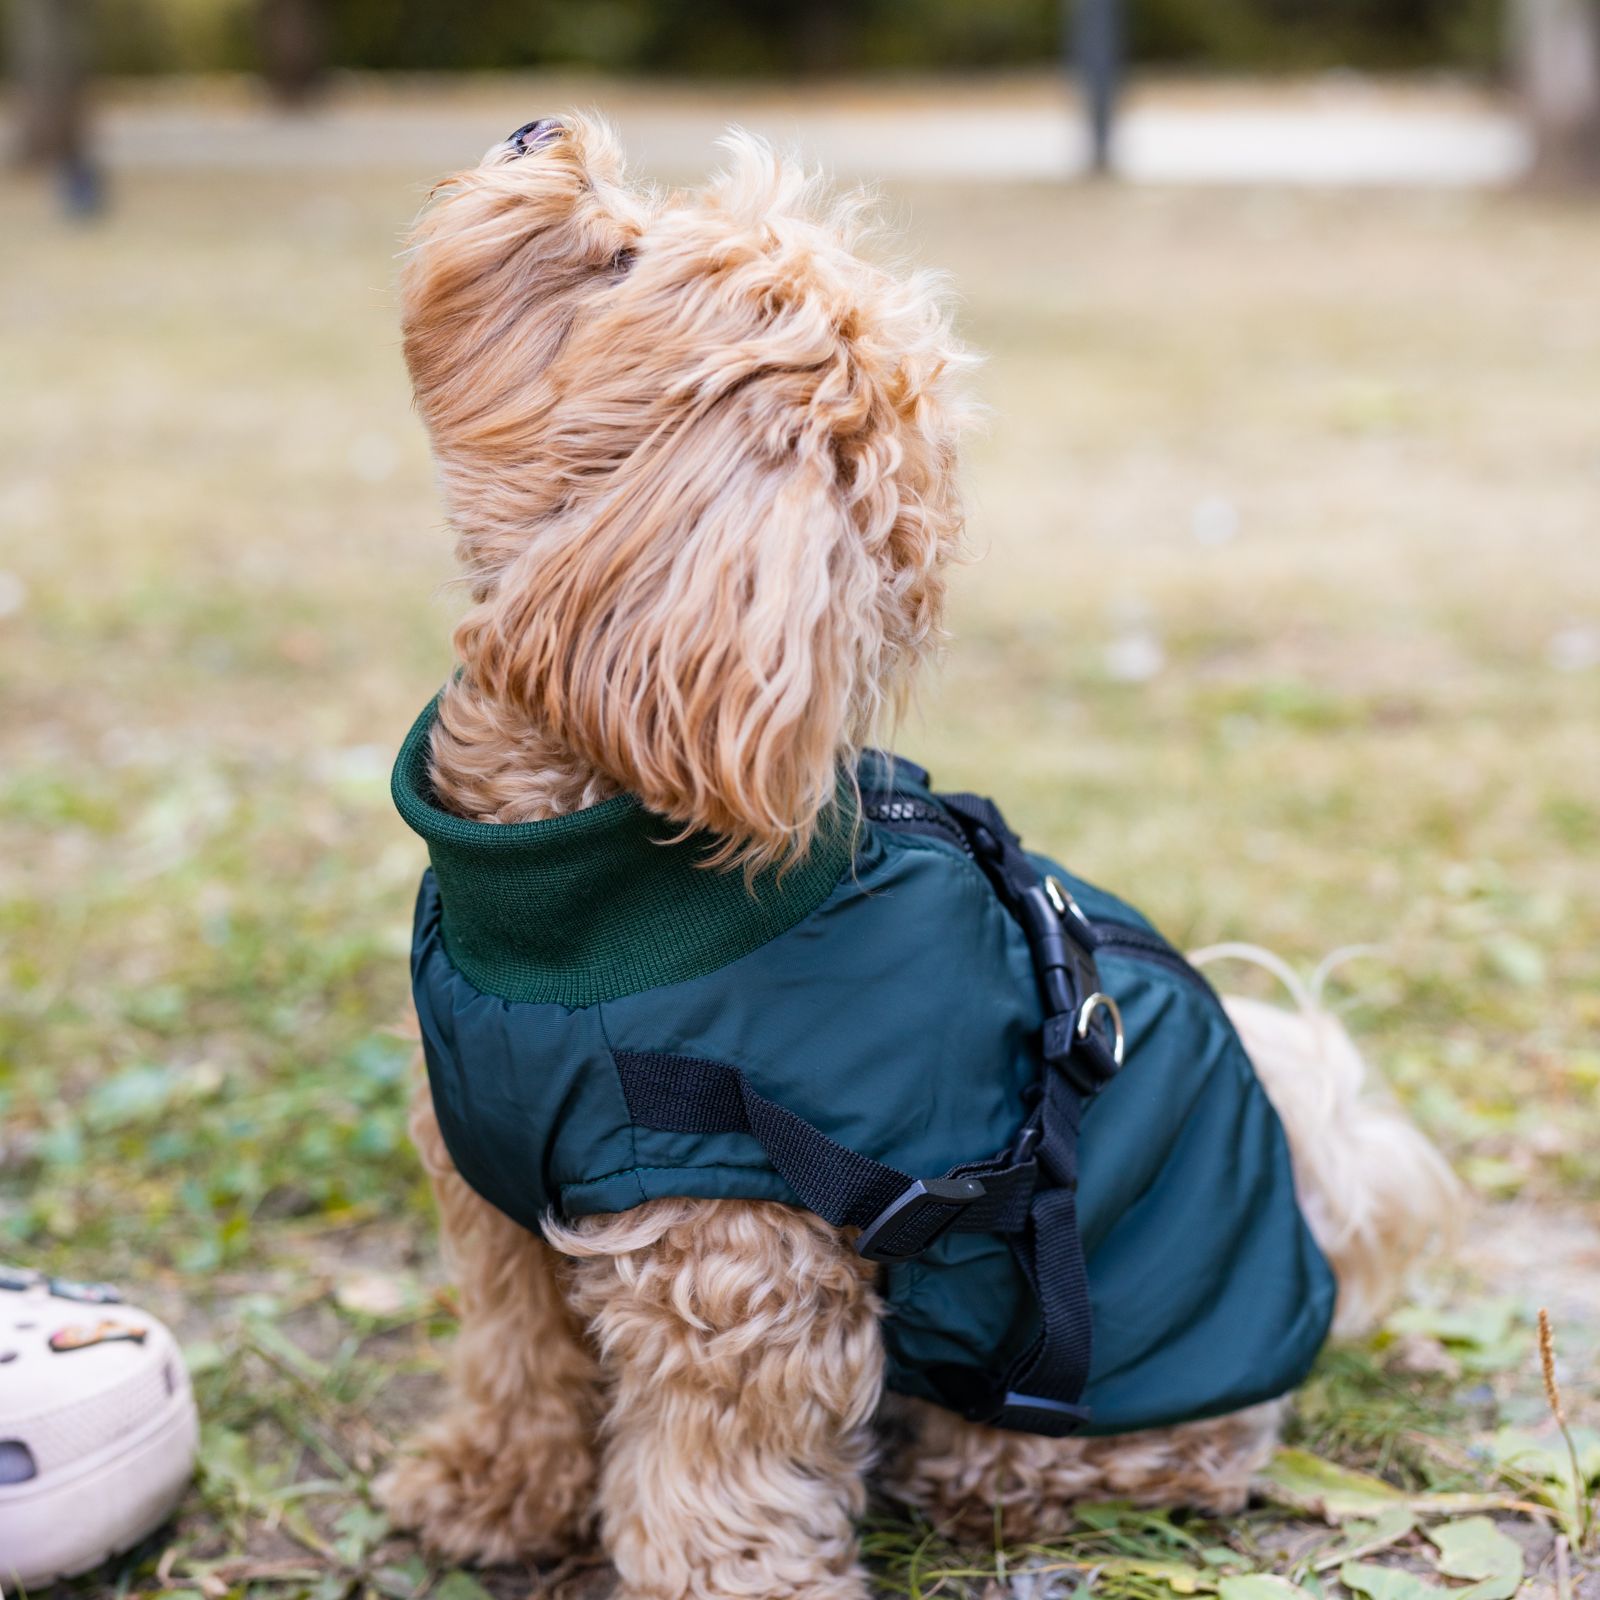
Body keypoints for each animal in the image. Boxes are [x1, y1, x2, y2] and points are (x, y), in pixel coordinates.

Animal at [377, 118, 1465, 1593]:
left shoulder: (741, 1264)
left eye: (616, 260)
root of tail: (1318, 1217)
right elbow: (519, 1360)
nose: (541, 129)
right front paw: (488, 1491)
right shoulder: (494, 1196)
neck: (574, 907)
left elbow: (714, 1495)